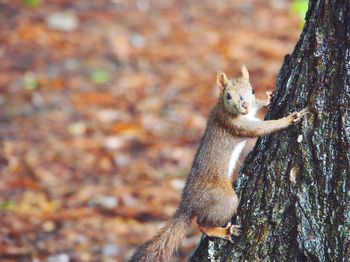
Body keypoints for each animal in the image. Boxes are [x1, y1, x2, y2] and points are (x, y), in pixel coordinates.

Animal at [130, 66, 308, 262]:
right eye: (228, 96)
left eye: (252, 90)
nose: (245, 105)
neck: (225, 108)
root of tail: (187, 203)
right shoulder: (235, 125)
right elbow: (264, 128)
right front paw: (289, 119)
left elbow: (259, 105)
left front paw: (267, 98)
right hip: (223, 200)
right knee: (202, 225)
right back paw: (223, 232)